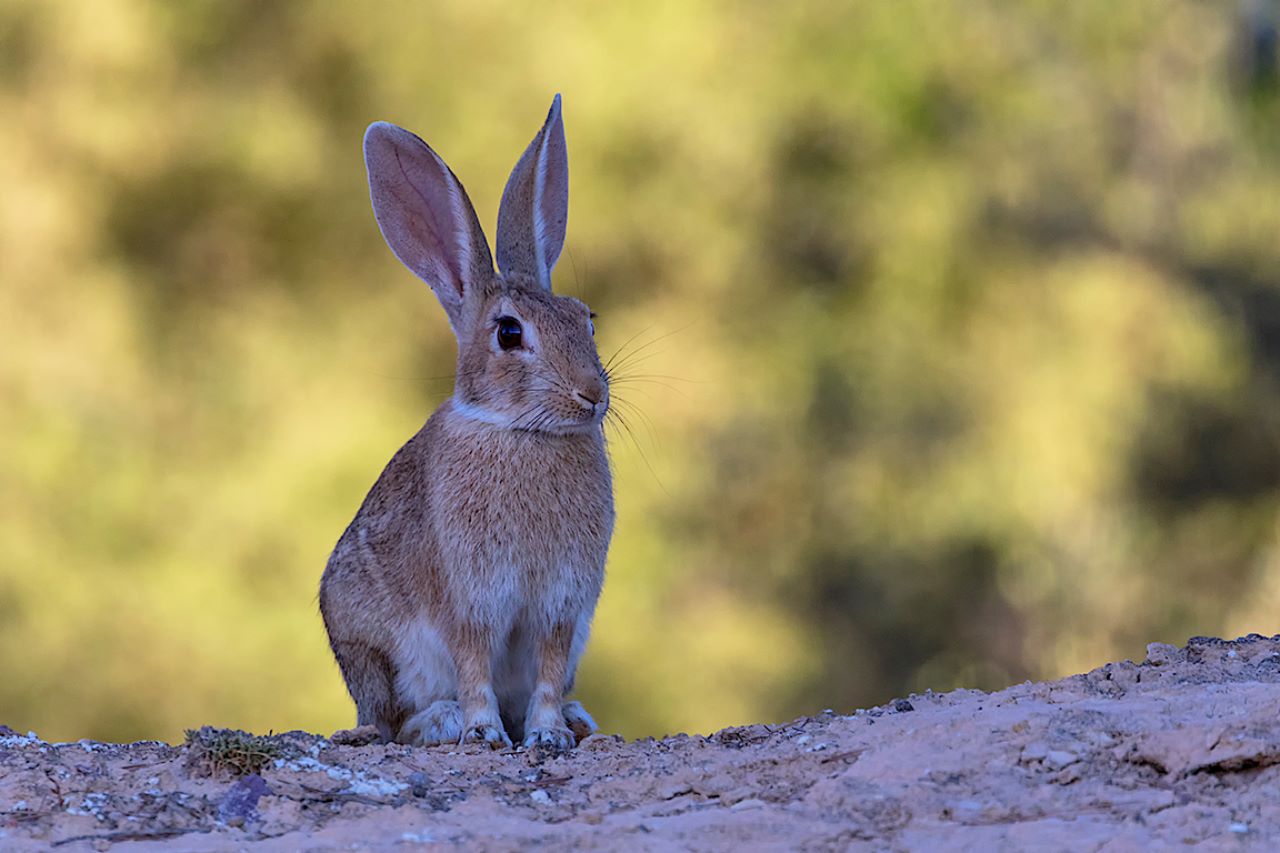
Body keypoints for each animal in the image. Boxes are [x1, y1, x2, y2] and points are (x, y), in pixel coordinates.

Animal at [319, 94, 613, 751]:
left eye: (587, 319)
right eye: (508, 333)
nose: (593, 395)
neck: (524, 433)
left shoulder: (560, 609)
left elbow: (547, 672)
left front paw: (549, 735)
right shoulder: (468, 599)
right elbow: (474, 662)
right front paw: (482, 732)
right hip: (377, 656)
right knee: (393, 723)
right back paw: (443, 722)